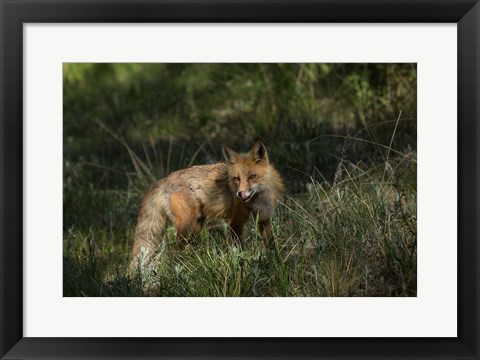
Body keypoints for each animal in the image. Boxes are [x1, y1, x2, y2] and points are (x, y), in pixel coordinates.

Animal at [129, 141, 284, 270]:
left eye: (252, 177)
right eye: (236, 179)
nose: (240, 194)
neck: (257, 201)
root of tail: (164, 180)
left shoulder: (264, 219)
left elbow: (271, 246)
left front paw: (277, 264)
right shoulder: (235, 223)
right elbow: (240, 251)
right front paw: (243, 267)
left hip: (196, 228)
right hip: (187, 227)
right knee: (172, 251)